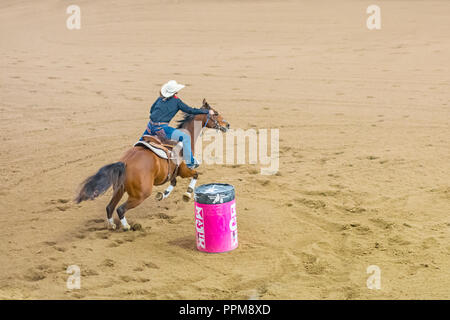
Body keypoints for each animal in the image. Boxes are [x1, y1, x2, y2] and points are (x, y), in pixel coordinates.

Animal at [75, 99, 229, 230]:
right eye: (215, 113)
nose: (227, 125)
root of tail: (125, 162)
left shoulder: (172, 173)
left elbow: (173, 183)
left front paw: (162, 195)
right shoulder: (184, 170)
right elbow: (196, 174)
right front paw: (187, 194)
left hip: (119, 189)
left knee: (109, 207)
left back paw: (112, 225)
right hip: (141, 194)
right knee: (120, 209)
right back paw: (126, 226)